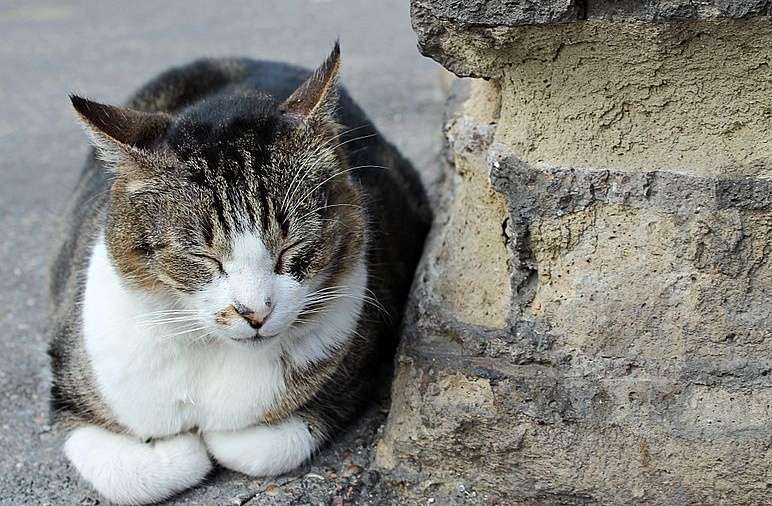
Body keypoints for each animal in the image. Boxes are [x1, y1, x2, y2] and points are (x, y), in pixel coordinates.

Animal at [49, 42, 432, 502]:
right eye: (203, 256)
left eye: (290, 248)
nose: (255, 313)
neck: (213, 353)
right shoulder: (66, 385)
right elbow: (132, 472)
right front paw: (183, 446)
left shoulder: (358, 370)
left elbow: (256, 444)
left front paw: (214, 439)